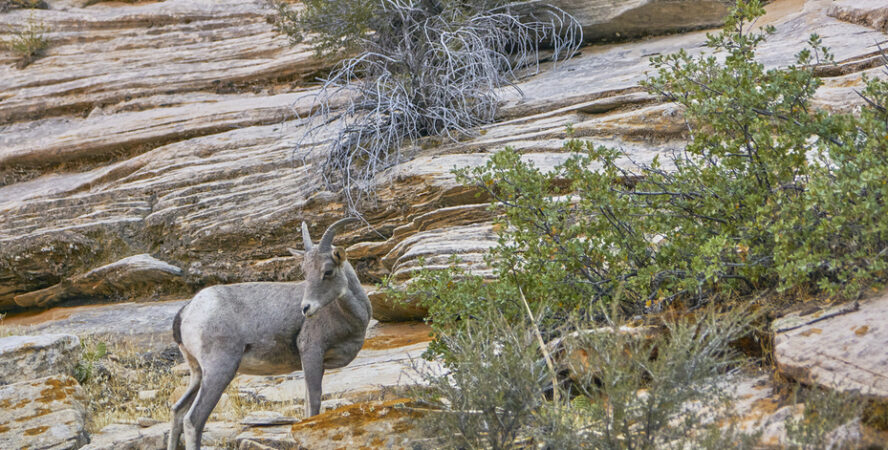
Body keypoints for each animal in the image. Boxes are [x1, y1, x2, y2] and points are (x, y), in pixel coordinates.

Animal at [168, 217, 370, 446]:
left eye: (327, 271)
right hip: (219, 370)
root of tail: (187, 311)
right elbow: (314, 404)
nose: (306, 308)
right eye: (305, 272)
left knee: (177, 411)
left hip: (197, 373)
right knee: (193, 420)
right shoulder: (311, 353)